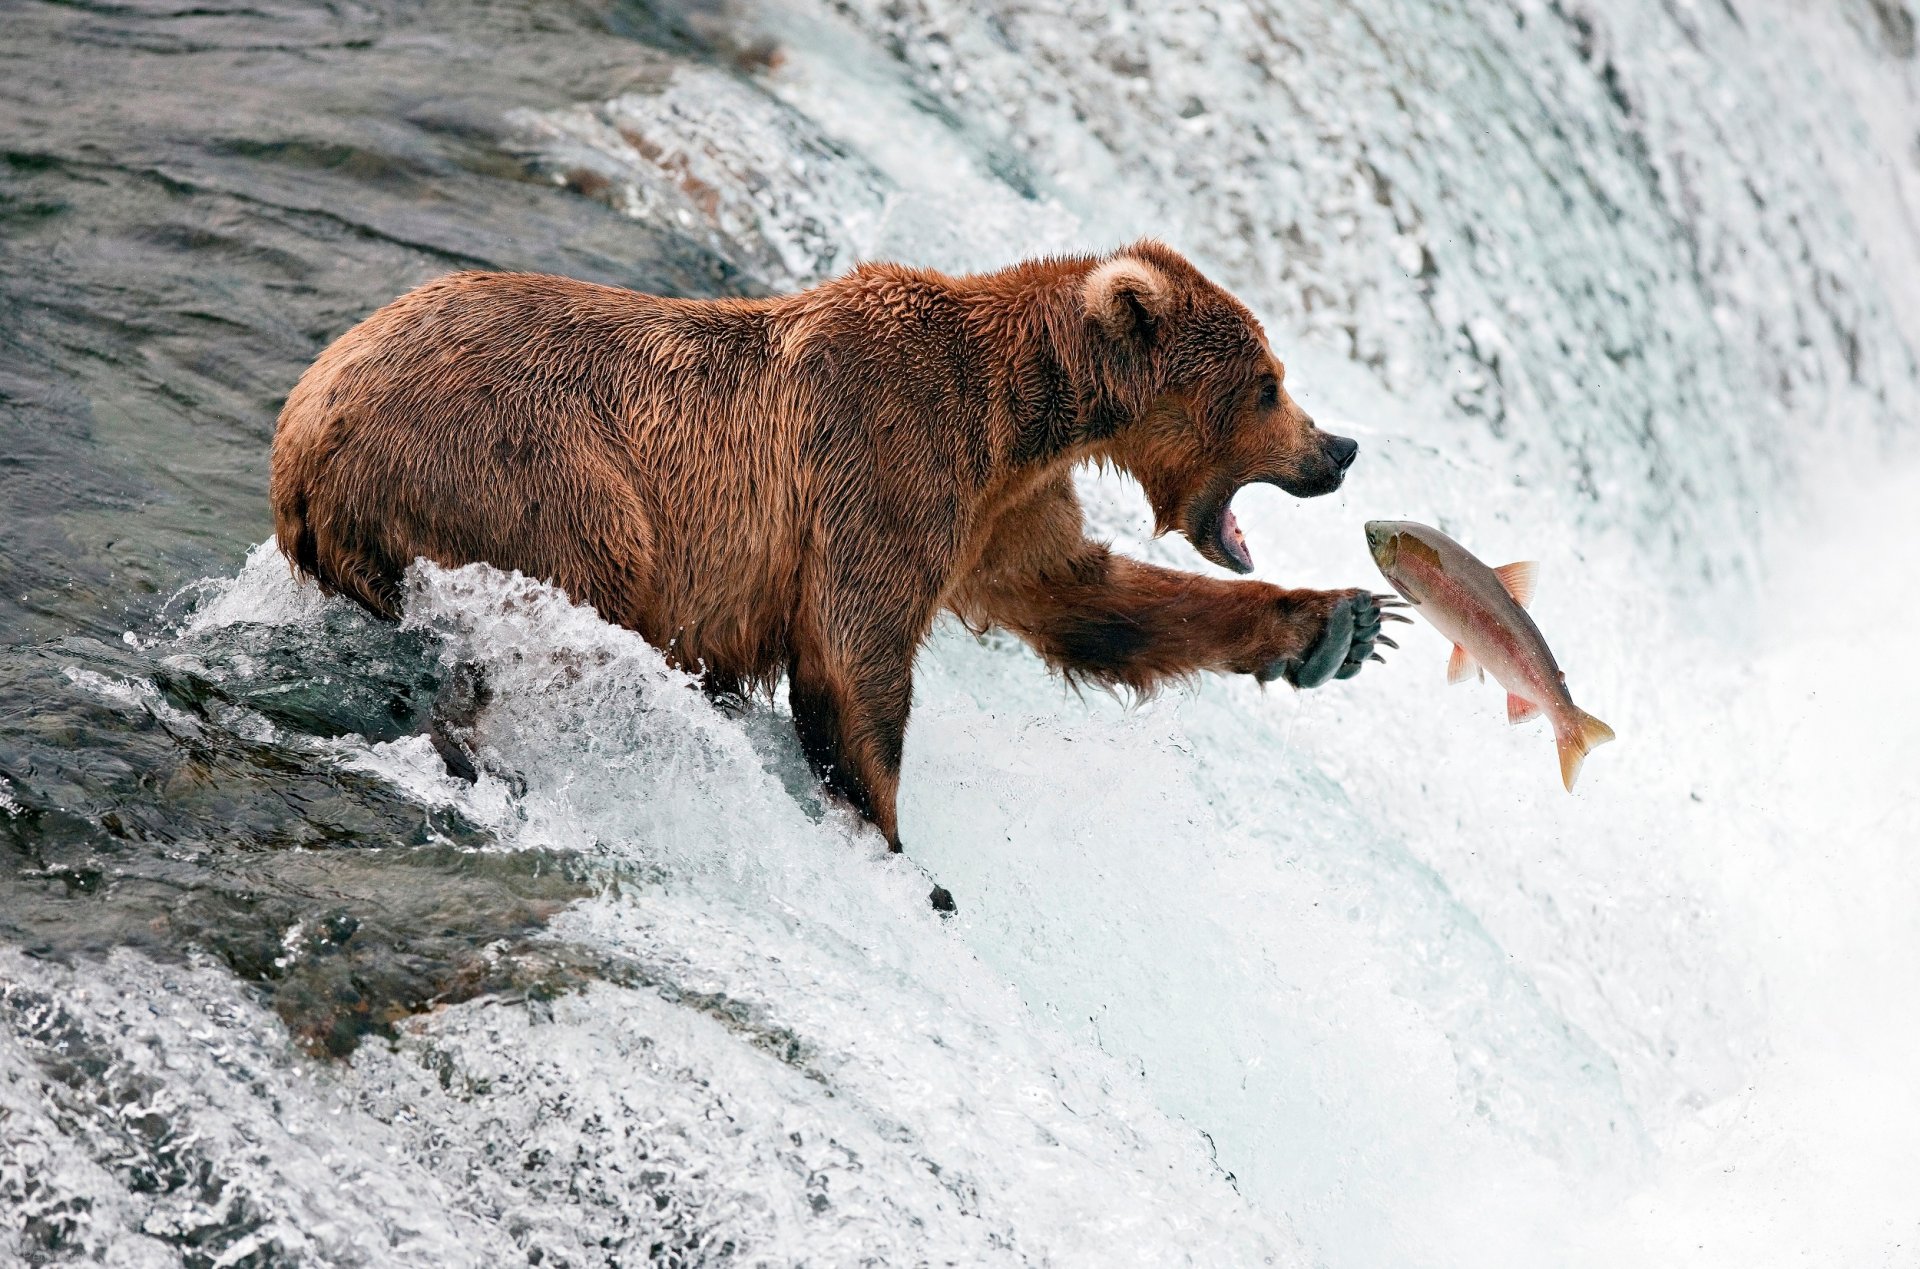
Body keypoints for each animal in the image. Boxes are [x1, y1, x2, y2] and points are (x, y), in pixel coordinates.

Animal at [270, 241, 1400, 855]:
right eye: (1268, 384)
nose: (1339, 448)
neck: (1024, 412)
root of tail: (304, 428)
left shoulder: (1002, 513)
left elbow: (1088, 600)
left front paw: (1339, 625)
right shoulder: (887, 461)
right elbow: (856, 661)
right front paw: (890, 838)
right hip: (532, 474)